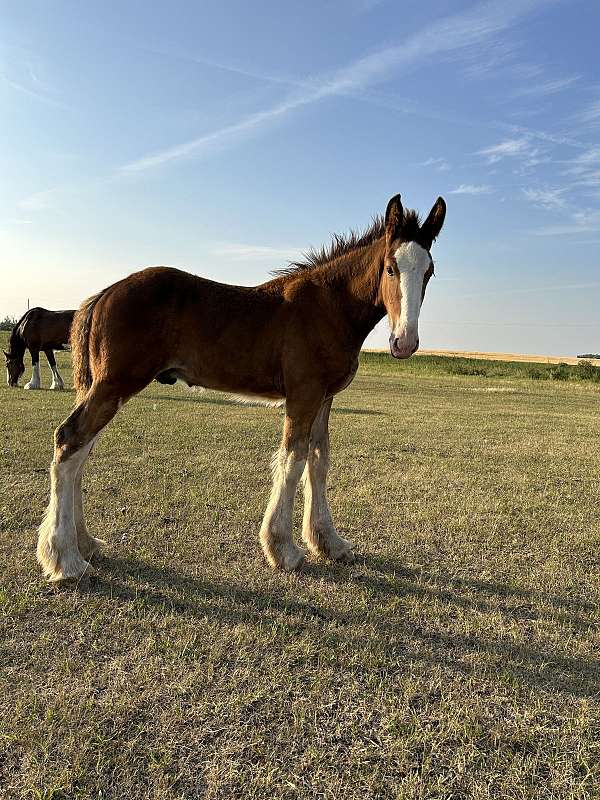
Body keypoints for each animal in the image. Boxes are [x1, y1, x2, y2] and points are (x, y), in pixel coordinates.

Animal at [36, 194, 446, 580]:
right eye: (391, 268)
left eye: (429, 271)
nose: (404, 342)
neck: (327, 307)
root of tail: (102, 294)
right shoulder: (303, 395)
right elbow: (293, 460)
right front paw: (283, 549)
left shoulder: (324, 398)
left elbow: (319, 461)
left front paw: (329, 542)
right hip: (114, 385)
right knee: (69, 440)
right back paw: (67, 559)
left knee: (81, 452)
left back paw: (85, 543)